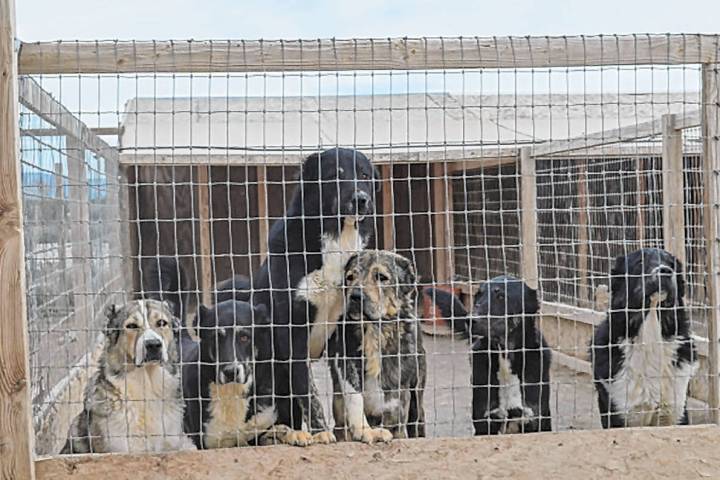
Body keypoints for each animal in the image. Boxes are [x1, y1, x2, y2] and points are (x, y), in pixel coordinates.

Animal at [424, 274, 556, 436]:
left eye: (501, 296)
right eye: (478, 295)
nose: (470, 320)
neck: (504, 356)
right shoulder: (485, 421)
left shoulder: (536, 420)